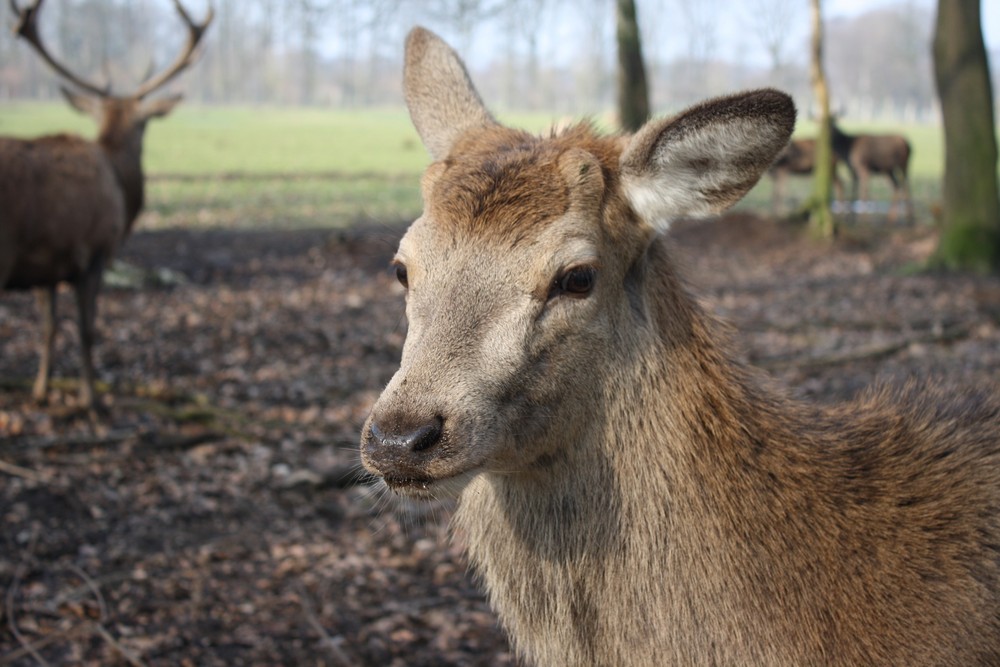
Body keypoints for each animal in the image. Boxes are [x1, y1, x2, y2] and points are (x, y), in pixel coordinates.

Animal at [0, 0, 213, 410]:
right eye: (145, 125)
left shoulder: (45, 263)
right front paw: (92, 400)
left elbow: (49, 327)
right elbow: (87, 329)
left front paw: (41, 390)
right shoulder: (94, 249)